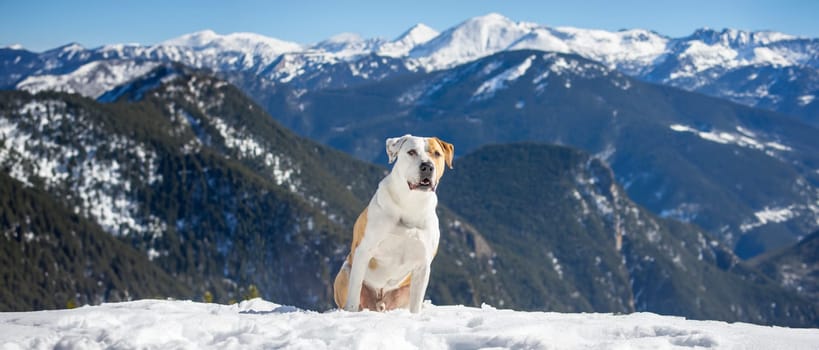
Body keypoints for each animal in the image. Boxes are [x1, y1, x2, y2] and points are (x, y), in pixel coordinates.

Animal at [336, 133, 458, 312]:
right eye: (411, 152)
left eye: (437, 154)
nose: (427, 166)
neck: (410, 204)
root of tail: (380, 301)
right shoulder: (364, 251)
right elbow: (354, 290)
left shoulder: (422, 265)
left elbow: (416, 305)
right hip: (346, 271)